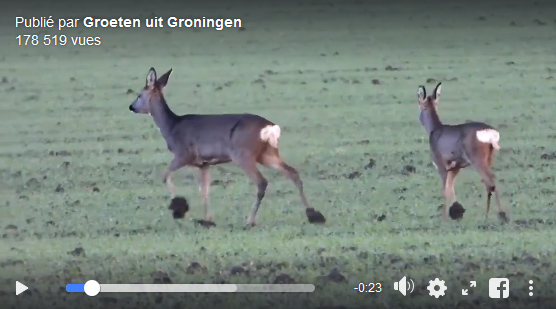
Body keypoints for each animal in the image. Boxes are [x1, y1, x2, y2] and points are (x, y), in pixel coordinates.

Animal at [129, 67, 326, 226]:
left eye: (139, 95)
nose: (131, 107)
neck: (171, 127)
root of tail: (270, 128)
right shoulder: (204, 164)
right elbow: (204, 191)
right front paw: (207, 220)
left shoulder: (183, 153)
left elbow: (165, 175)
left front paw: (179, 209)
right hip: (267, 154)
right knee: (293, 173)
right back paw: (313, 215)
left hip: (243, 154)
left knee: (262, 182)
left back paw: (250, 220)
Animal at [416, 82, 508, 221]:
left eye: (421, 106)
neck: (435, 129)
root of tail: (489, 132)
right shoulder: (455, 166)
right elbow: (451, 187)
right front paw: (457, 211)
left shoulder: (441, 164)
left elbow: (445, 188)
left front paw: (444, 217)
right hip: (489, 158)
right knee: (490, 182)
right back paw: (490, 215)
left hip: (477, 159)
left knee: (490, 179)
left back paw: (498, 215)